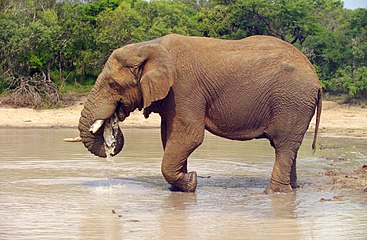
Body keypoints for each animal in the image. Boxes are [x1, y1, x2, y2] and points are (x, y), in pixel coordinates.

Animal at [78, 33, 322, 194]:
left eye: (113, 84)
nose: (115, 119)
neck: (150, 46)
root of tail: (316, 77)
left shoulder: (184, 88)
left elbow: (189, 137)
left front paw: (191, 181)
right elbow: (170, 136)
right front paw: (181, 186)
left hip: (292, 101)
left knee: (283, 145)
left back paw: (274, 193)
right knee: (289, 148)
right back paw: (292, 189)